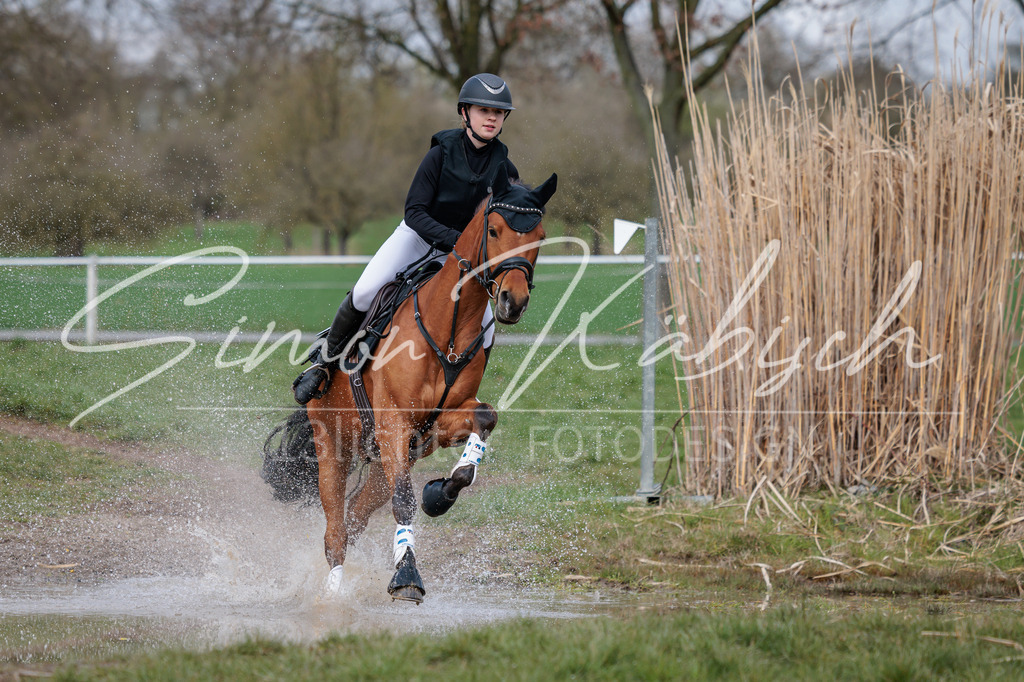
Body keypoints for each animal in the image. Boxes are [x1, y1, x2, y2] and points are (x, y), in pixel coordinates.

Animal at [263, 167, 556, 603]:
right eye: (495, 230)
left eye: (539, 235)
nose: (512, 302)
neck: (448, 328)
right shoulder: (393, 425)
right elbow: (404, 502)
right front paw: (406, 576)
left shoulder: (434, 427)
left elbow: (484, 421)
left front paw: (440, 495)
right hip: (334, 447)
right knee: (335, 531)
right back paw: (332, 592)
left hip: (386, 462)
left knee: (354, 517)